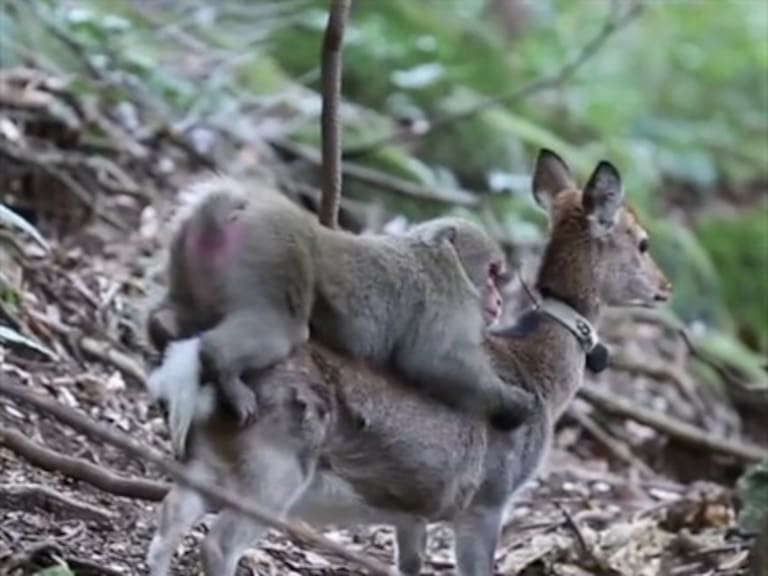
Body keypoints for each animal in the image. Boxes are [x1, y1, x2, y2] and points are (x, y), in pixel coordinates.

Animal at [147, 177, 533, 431]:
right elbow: (433, 361)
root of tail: (237, 209)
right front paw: (512, 401)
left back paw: (163, 329)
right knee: (285, 331)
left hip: (187, 257)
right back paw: (224, 369)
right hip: (274, 253)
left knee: (179, 314)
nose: (499, 300)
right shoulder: (449, 297)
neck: (442, 256)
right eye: (492, 273)